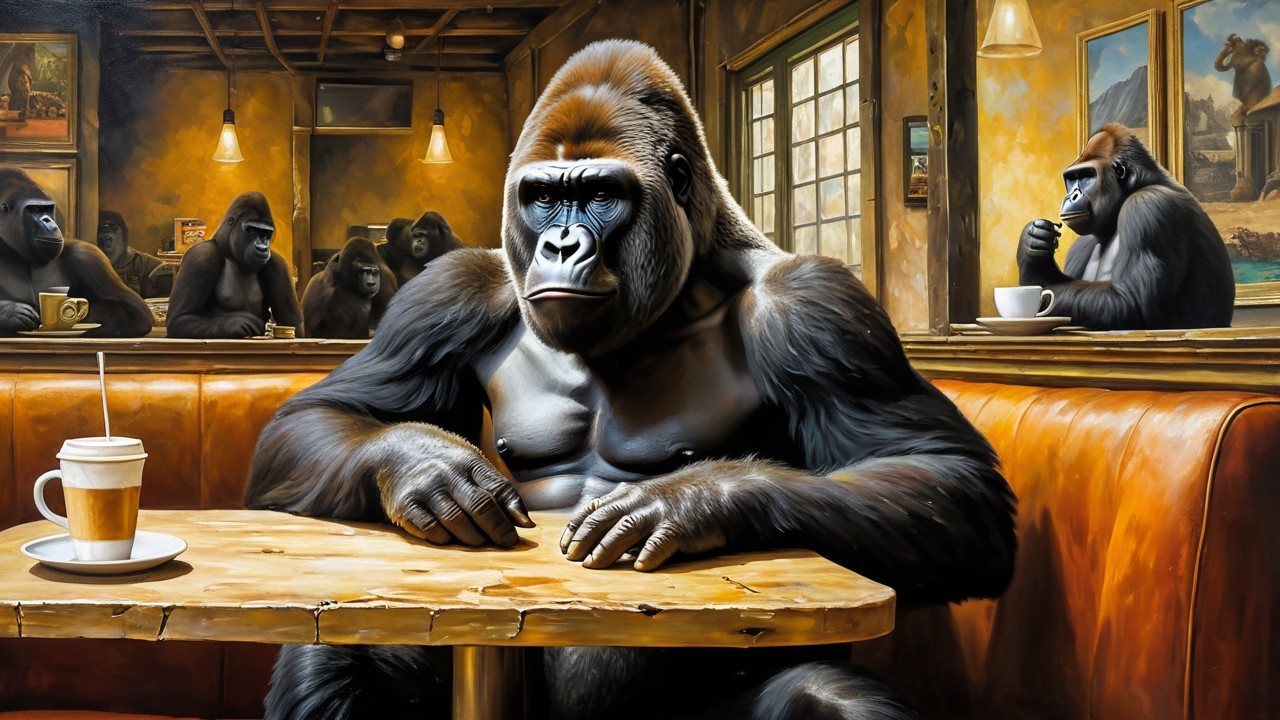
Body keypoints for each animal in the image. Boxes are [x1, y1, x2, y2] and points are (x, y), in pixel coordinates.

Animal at [166, 191, 303, 338]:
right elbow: (180, 319)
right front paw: (238, 323)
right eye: (252, 230)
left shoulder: (278, 264)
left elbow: (292, 322)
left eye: (267, 233)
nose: (263, 247)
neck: (230, 253)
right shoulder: (201, 256)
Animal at [246, 40, 1014, 720]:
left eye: (599, 193)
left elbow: (942, 471)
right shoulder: (451, 292)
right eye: (542, 197)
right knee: (332, 652)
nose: (559, 246)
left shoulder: (815, 304)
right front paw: (425, 466)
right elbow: (324, 411)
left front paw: (692, 500)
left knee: (832, 698)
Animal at [1018, 123, 1235, 330]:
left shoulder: (1148, 206)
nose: (1072, 196)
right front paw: (1032, 247)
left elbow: (1128, 302)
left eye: (1087, 176)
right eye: (1072, 178)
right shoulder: (1082, 244)